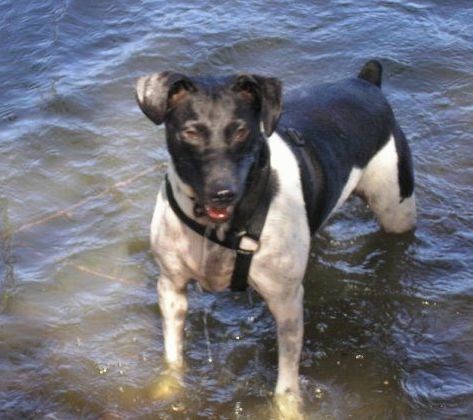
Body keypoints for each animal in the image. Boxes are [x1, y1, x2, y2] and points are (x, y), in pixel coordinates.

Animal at [135, 60, 414, 404]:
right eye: (190, 132)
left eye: (241, 130)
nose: (223, 193)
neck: (224, 227)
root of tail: (367, 83)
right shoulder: (171, 287)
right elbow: (173, 354)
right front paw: (169, 388)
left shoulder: (287, 303)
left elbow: (287, 383)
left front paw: (288, 409)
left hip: (397, 210)